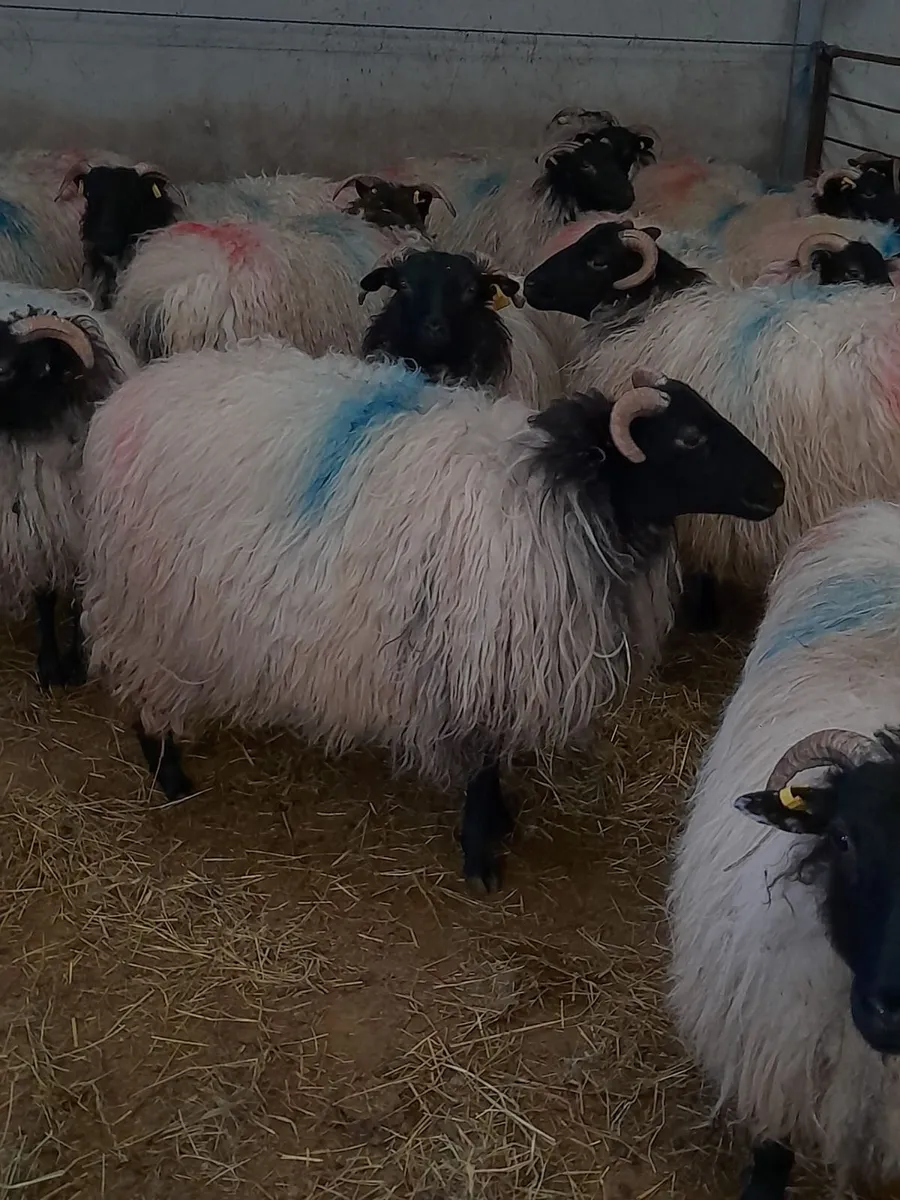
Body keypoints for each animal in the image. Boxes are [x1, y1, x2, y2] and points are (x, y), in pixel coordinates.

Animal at [0, 283, 137, 686]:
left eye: (5, 370)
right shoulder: (37, 531)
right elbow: (45, 597)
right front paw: (48, 665)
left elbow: (77, 601)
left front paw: (75, 665)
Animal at [79, 346, 783, 889]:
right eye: (690, 438)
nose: (775, 488)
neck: (563, 492)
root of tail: (124, 401)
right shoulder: (477, 654)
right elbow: (483, 761)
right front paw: (480, 855)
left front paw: (501, 820)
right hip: (145, 602)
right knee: (139, 682)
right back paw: (169, 773)